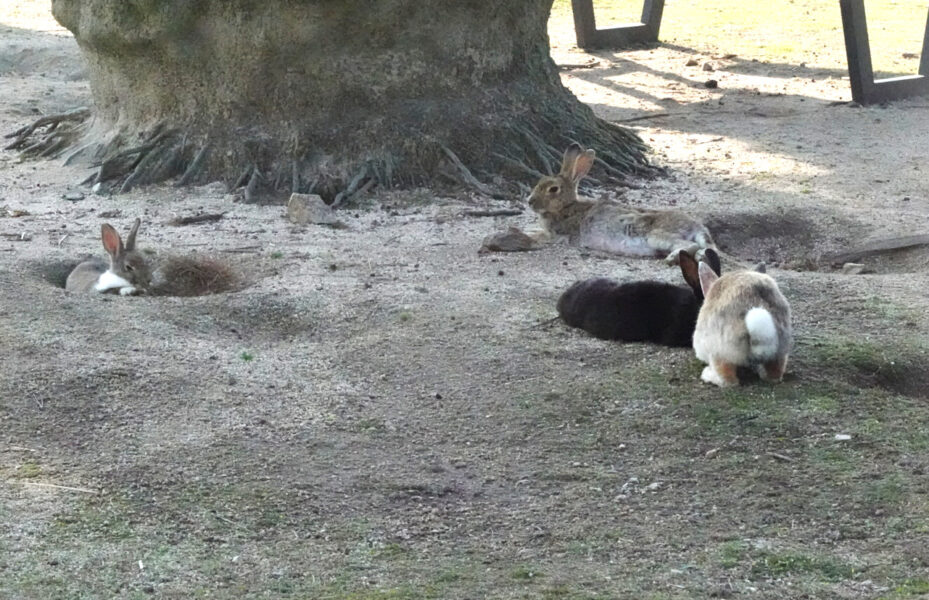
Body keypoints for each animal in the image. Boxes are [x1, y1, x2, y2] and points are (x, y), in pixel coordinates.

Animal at [524, 143, 716, 264]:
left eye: (553, 189)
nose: (530, 202)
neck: (566, 206)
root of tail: (697, 227)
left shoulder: (559, 235)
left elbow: (541, 236)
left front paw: (527, 234)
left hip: (655, 235)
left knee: (688, 245)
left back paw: (672, 258)